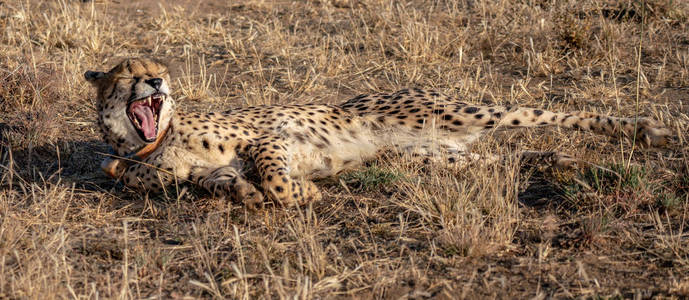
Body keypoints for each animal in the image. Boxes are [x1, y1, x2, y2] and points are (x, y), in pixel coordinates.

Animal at [86, 58, 672, 209]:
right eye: (129, 72)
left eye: (155, 68)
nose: (157, 82)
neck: (153, 142)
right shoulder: (206, 174)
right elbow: (226, 185)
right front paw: (247, 193)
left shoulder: (269, 138)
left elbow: (274, 177)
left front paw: (304, 191)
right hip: (434, 158)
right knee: (507, 160)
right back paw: (563, 165)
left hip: (459, 113)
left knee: (540, 115)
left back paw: (647, 131)